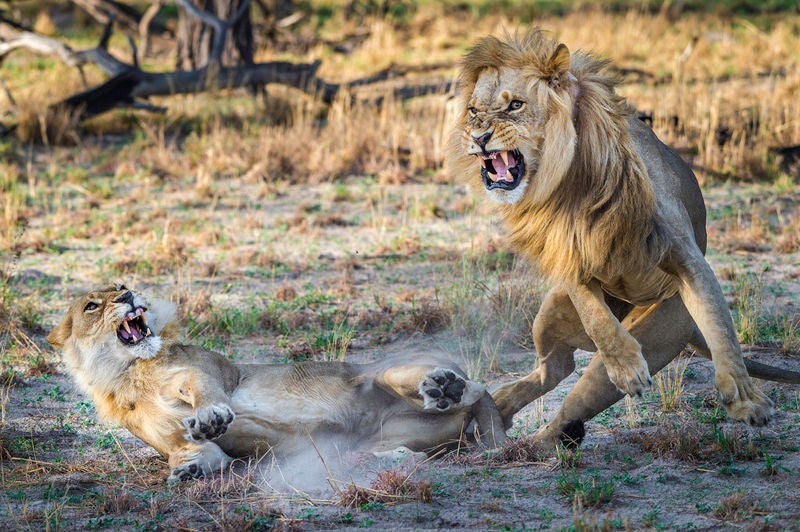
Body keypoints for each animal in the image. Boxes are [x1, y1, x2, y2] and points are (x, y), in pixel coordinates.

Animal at [45, 286, 506, 482]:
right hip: (393, 435)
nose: (128, 296)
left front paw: (211, 417)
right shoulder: (181, 442)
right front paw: (188, 469)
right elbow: (199, 453)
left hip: (388, 371)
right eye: (92, 305)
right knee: (412, 452)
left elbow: (206, 394)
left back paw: (442, 386)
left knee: (476, 386)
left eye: (122, 285)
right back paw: (386, 456)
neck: (127, 374)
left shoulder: (211, 371)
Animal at [450, 28, 800, 444]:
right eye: (474, 110)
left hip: (658, 330)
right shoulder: (569, 254)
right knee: (554, 368)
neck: (570, 180)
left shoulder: (684, 254)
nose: (479, 136)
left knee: (569, 396)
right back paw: (493, 413)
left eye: (515, 105)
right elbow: (597, 318)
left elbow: (722, 326)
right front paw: (627, 367)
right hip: (550, 314)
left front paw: (746, 400)